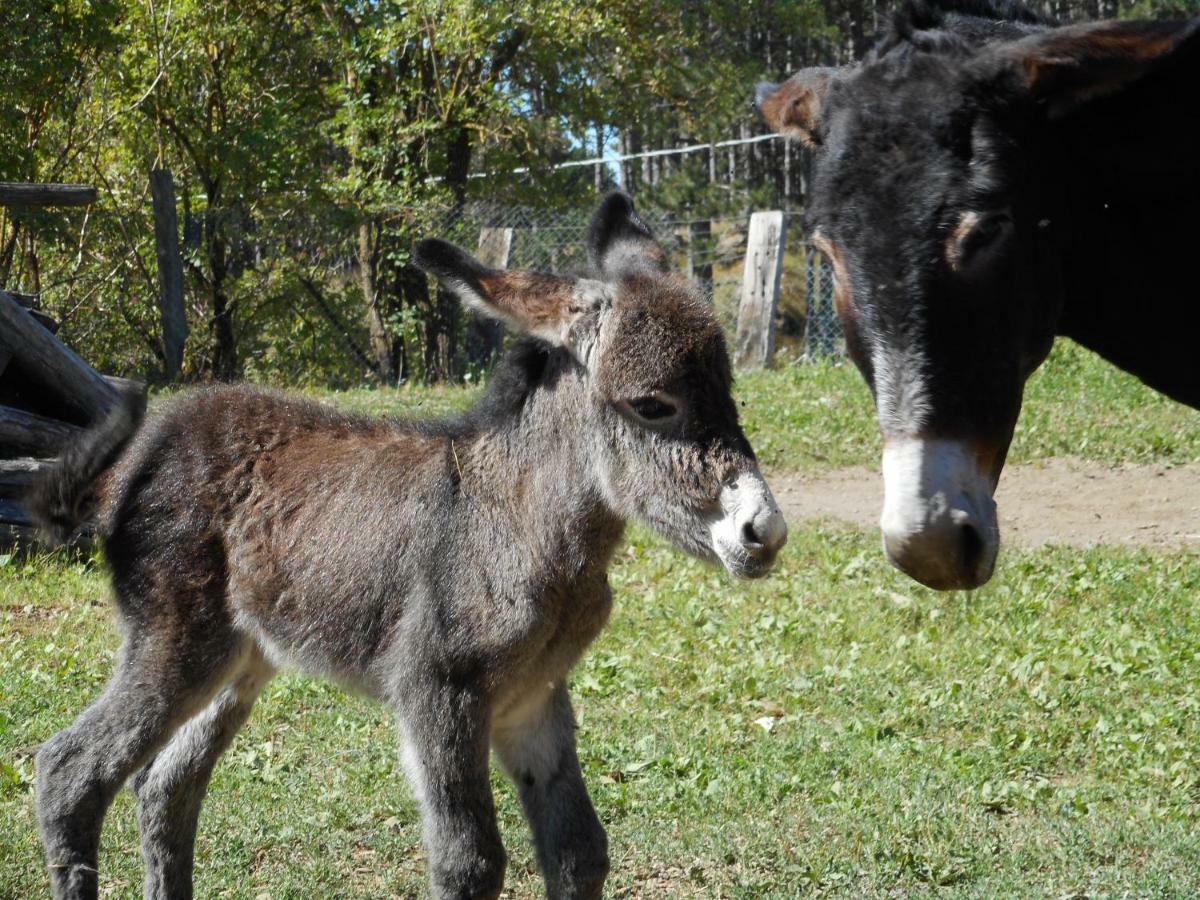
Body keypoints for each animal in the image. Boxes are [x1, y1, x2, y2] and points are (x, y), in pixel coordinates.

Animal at [28, 192, 787, 900]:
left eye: (730, 391)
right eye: (653, 405)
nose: (765, 531)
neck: (516, 522)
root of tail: (145, 446)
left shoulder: (534, 697)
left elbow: (579, 851)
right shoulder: (434, 690)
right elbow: (470, 863)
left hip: (240, 658)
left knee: (165, 785)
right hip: (175, 640)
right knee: (71, 771)